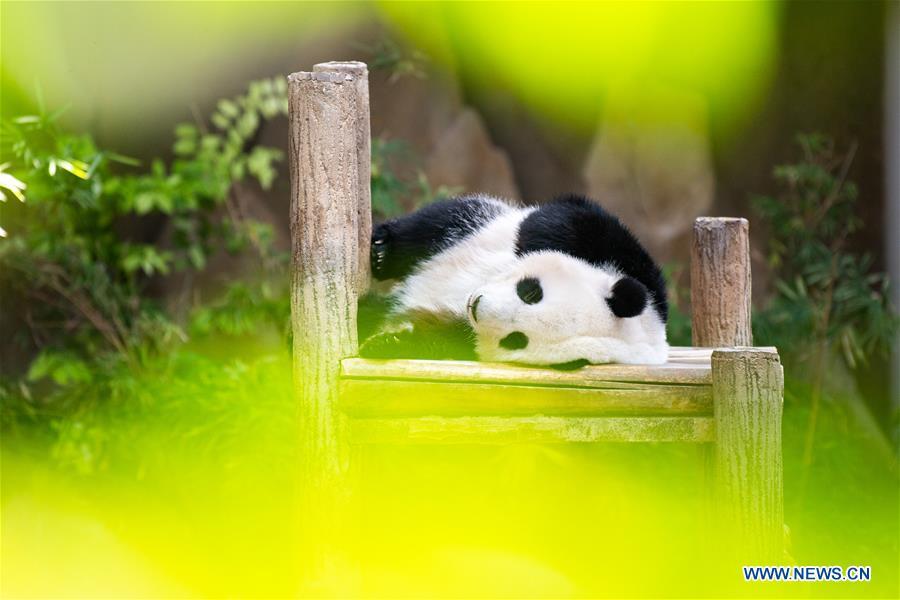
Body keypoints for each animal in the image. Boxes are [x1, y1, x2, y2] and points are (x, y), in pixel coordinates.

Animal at [360, 193, 668, 366]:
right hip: (477, 223)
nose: (477, 306)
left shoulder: (463, 335)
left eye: (516, 340)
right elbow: (569, 218)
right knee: (440, 222)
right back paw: (382, 252)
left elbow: (441, 339)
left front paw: (389, 342)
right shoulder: (639, 272)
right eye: (531, 293)